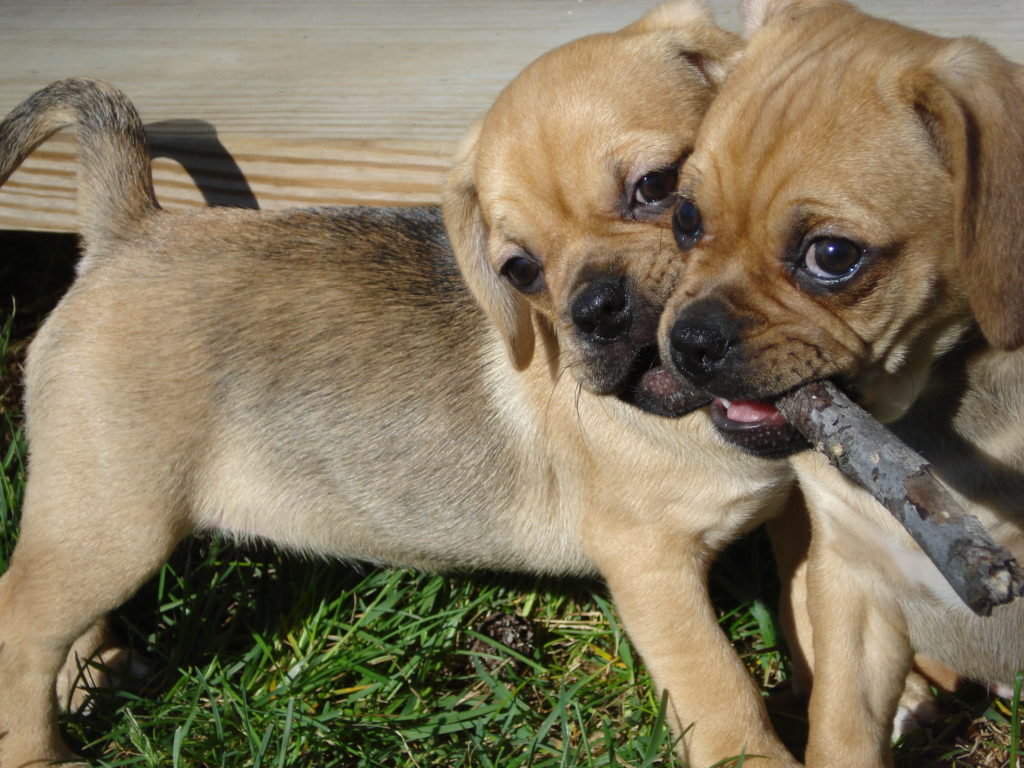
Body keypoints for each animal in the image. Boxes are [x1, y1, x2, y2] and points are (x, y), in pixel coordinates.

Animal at [0, 3, 798, 765]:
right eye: (520, 271)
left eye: (656, 187)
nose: (596, 309)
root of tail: (127, 231)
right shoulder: (652, 564)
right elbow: (717, 682)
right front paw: (755, 756)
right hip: (117, 515)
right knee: (21, 621)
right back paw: (38, 754)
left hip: (88, 516)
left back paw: (88, 671)